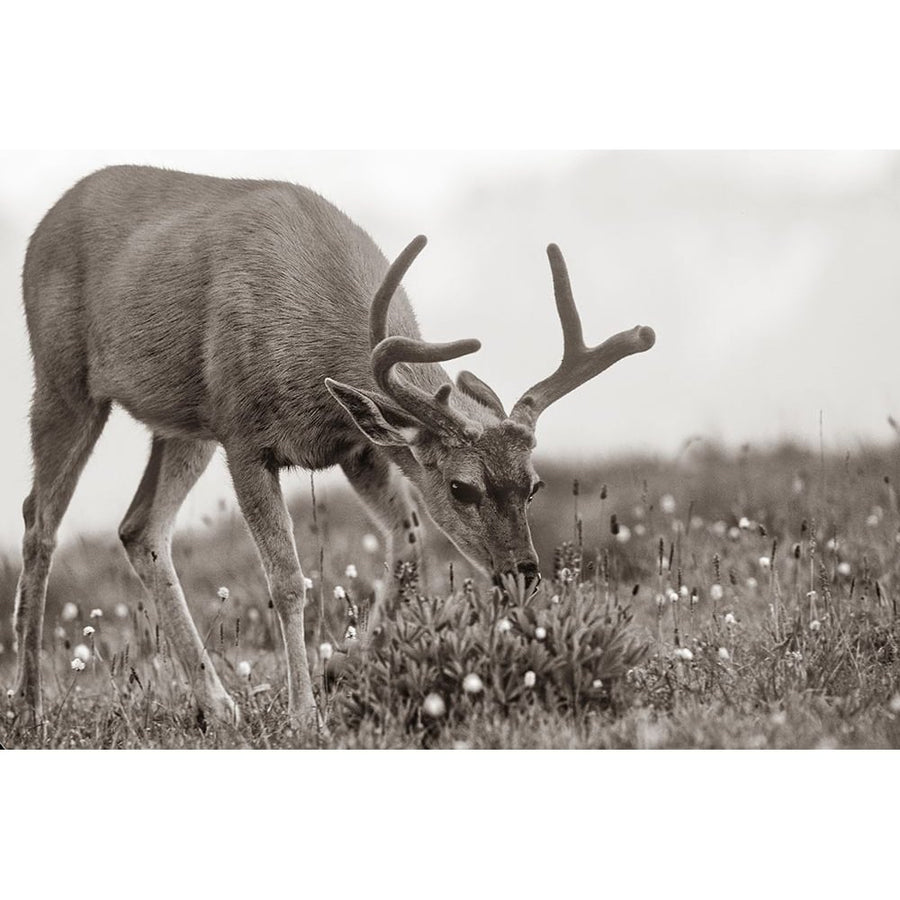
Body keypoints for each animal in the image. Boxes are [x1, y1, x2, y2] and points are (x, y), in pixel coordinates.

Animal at [5, 167, 652, 732]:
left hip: (185, 425)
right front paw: (304, 715)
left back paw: (218, 705)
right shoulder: (244, 436)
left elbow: (408, 544)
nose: (523, 575)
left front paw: (351, 668)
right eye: (461, 487)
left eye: (534, 484)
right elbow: (288, 580)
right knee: (39, 522)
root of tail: (46, 220)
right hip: (65, 380)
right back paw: (30, 706)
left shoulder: (357, 447)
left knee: (139, 527)